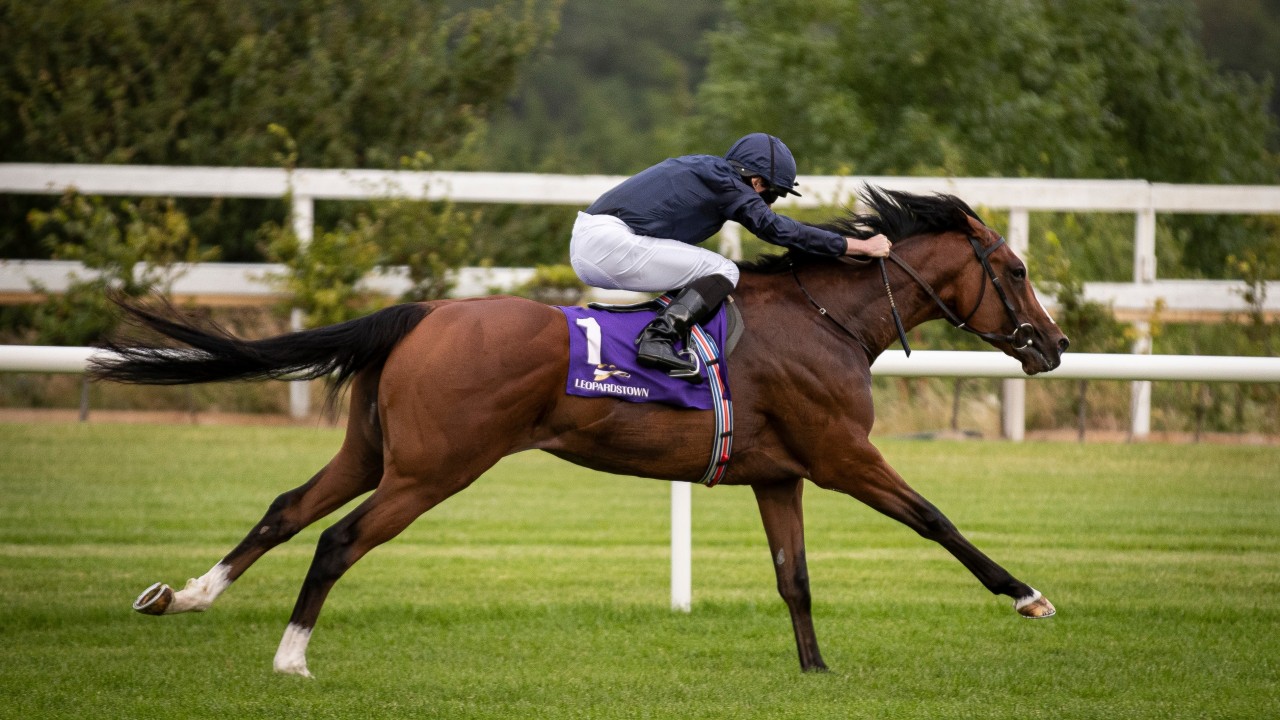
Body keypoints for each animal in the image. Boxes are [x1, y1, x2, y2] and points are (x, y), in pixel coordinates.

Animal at [92, 186, 1069, 677]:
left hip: (373, 451)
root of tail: (425, 314)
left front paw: (815, 673)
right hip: (434, 468)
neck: (826, 318)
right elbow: (936, 518)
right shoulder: (841, 455)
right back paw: (291, 658)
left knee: (287, 509)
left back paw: (185, 596)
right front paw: (1027, 595)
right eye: (1017, 267)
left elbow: (793, 578)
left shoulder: (779, 474)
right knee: (337, 539)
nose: (1053, 345)